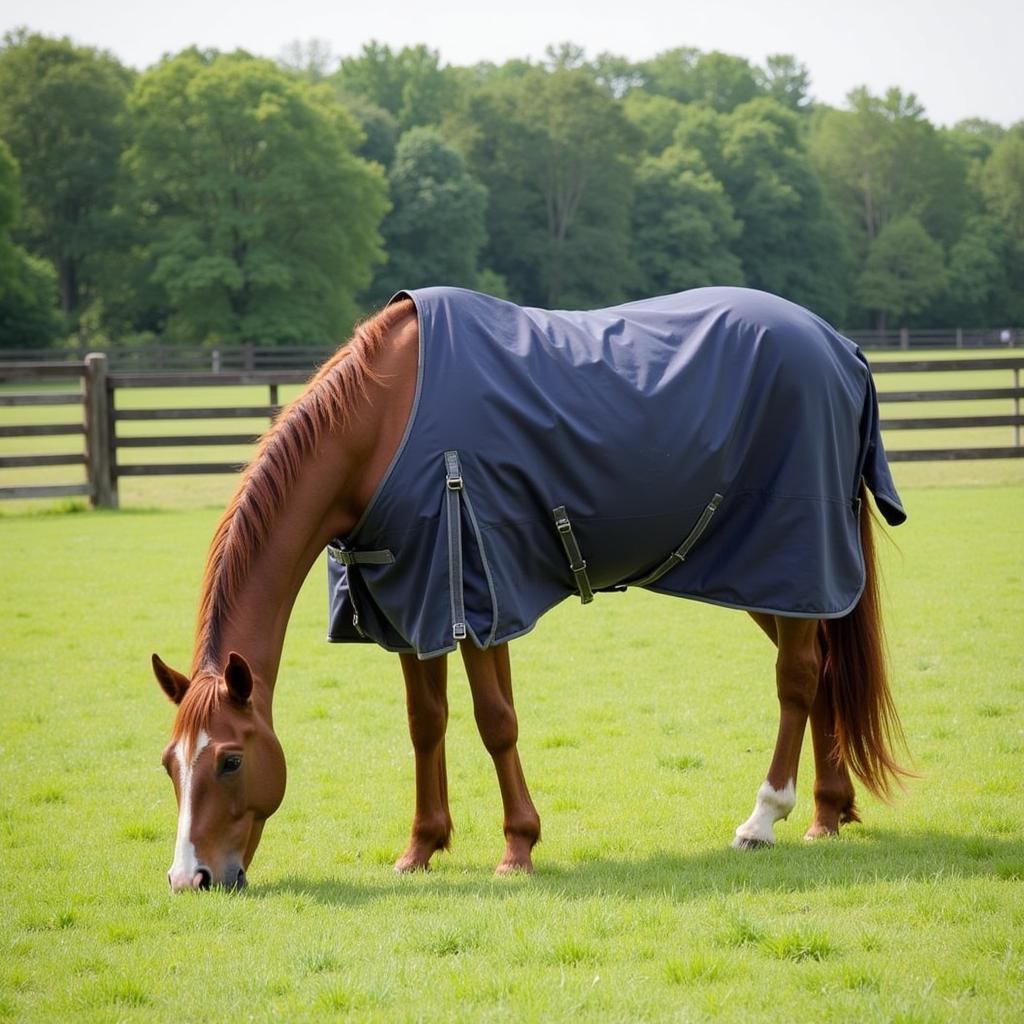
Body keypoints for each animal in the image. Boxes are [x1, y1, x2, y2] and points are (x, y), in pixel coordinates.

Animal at [148, 286, 909, 888]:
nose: (191, 878)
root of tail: (840, 348)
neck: (384, 422)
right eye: (169, 765)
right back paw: (827, 809)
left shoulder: (479, 595)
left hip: (791, 559)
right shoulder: (410, 602)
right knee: (825, 671)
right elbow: (426, 723)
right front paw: (421, 847)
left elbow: (496, 722)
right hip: (774, 580)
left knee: (798, 678)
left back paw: (764, 817)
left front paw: (518, 848)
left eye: (230, 761)